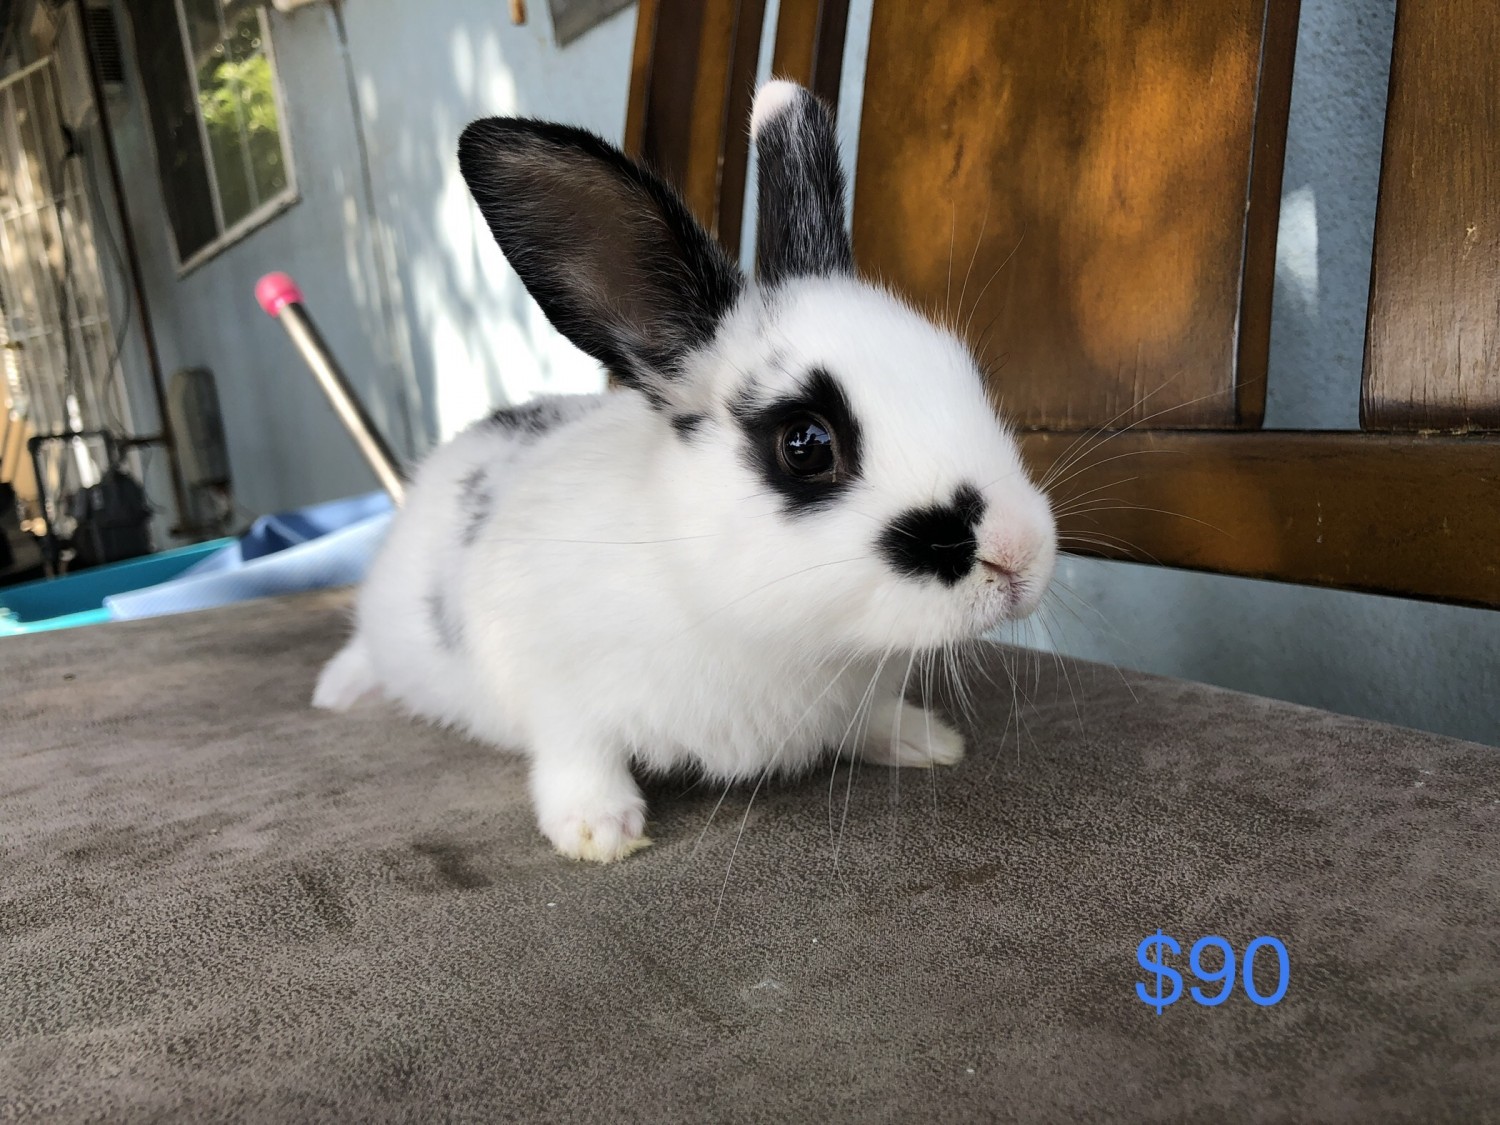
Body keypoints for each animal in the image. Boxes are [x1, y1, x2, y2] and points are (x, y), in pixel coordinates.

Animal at [314, 80, 1057, 863]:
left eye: (970, 375)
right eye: (806, 444)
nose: (1018, 552)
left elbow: (876, 714)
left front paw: (925, 740)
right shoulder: (555, 687)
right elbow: (577, 755)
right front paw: (598, 831)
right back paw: (339, 691)